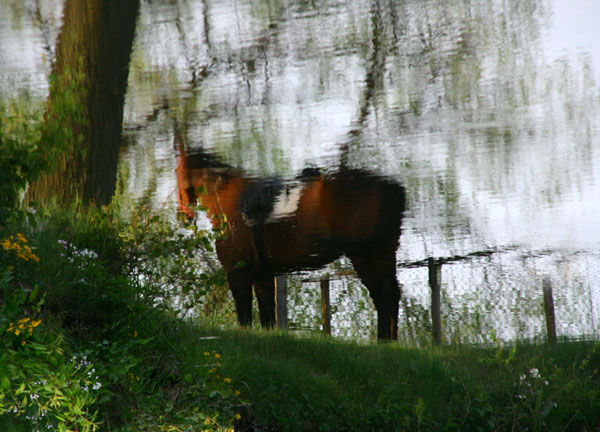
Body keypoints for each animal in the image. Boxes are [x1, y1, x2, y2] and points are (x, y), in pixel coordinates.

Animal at [175, 147, 408, 340]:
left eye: (177, 172)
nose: (183, 217)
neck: (228, 197)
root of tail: (392, 188)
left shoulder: (238, 274)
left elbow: (245, 316)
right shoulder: (262, 276)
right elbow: (267, 318)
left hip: (364, 255)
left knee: (382, 294)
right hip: (384, 253)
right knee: (390, 294)